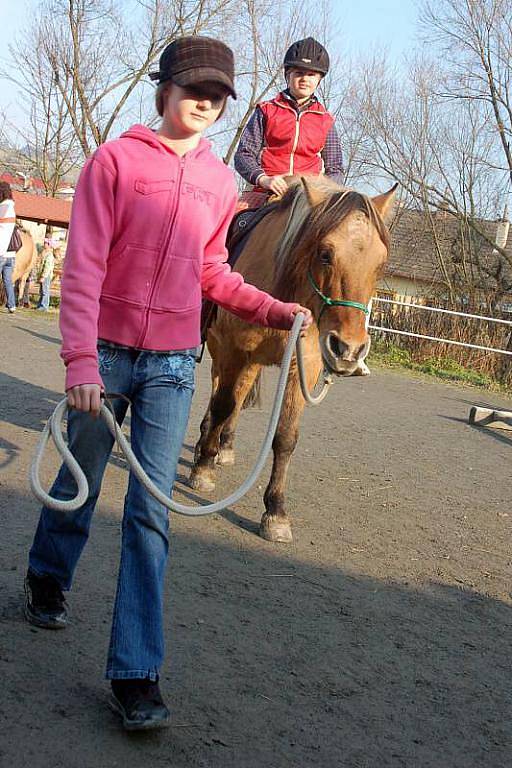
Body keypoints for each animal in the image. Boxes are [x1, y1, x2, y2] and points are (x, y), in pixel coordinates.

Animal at [191, 177, 396, 544]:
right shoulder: (232, 349)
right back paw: (206, 447)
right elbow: (222, 405)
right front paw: (203, 469)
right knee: (220, 396)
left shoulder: (305, 364)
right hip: (222, 351)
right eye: (325, 253)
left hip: (252, 362)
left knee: (239, 395)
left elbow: (285, 435)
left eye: (381, 264)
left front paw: (276, 512)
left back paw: (224, 447)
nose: (348, 350)